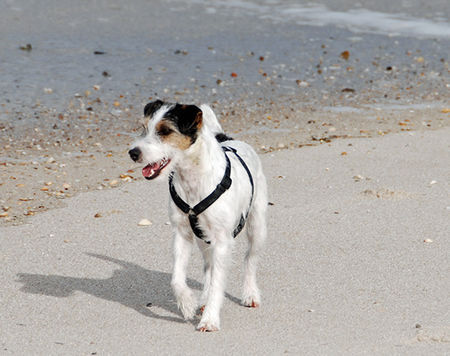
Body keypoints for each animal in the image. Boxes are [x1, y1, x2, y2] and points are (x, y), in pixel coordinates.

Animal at [126, 101, 268, 332]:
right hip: (203, 238)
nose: (133, 153)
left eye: (165, 131)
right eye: (144, 128)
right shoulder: (182, 234)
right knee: (208, 267)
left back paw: (250, 294)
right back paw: (202, 299)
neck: (193, 179)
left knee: (250, 259)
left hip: (257, 226)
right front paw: (187, 304)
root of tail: (226, 138)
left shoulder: (222, 241)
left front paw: (210, 319)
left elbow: (219, 283)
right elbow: (177, 279)